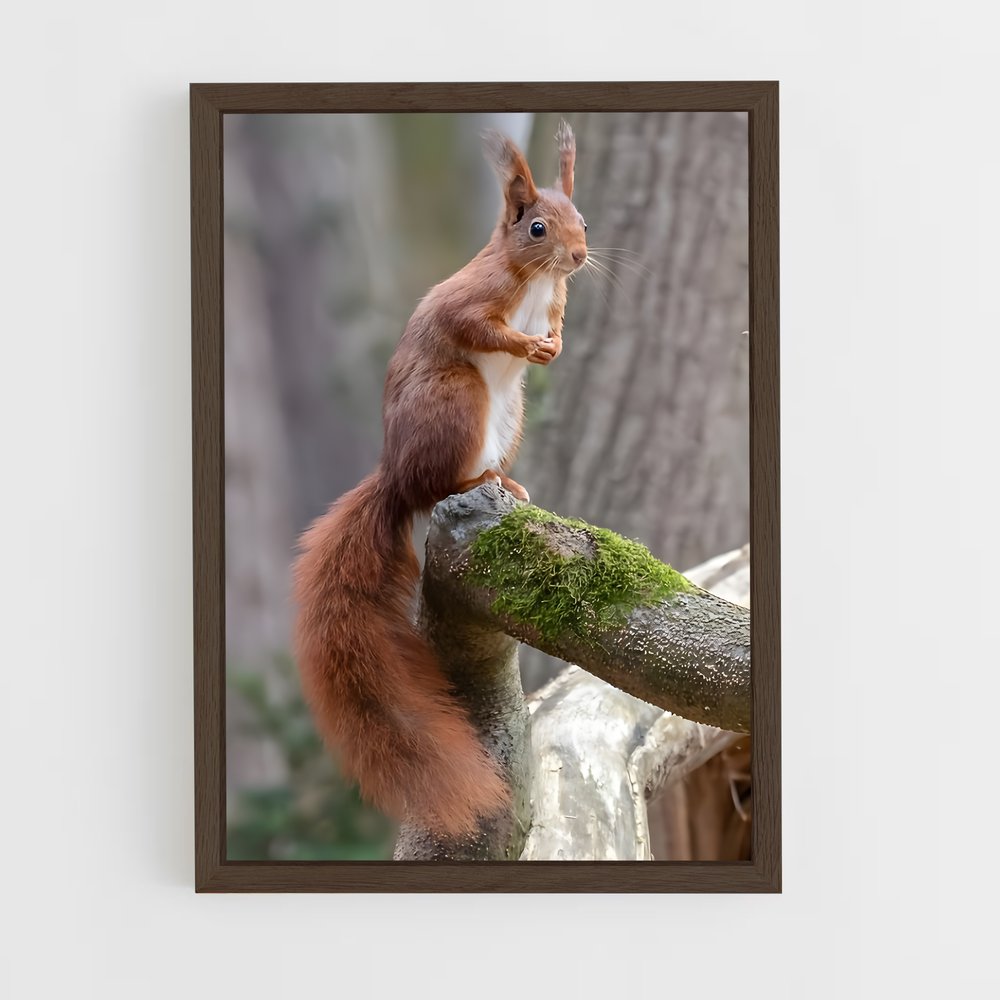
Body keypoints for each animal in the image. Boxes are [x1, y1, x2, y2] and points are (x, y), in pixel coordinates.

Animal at [292, 121, 588, 837]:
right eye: (537, 227)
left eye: (584, 219)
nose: (579, 256)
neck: (536, 281)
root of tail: (394, 477)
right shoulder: (472, 297)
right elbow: (473, 324)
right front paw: (526, 345)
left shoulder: (557, 298)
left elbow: (559, 321)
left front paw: (554, 343)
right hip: (458, 401)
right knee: (435, 490)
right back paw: (468, 484)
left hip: (509, 418)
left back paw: (506, 484)